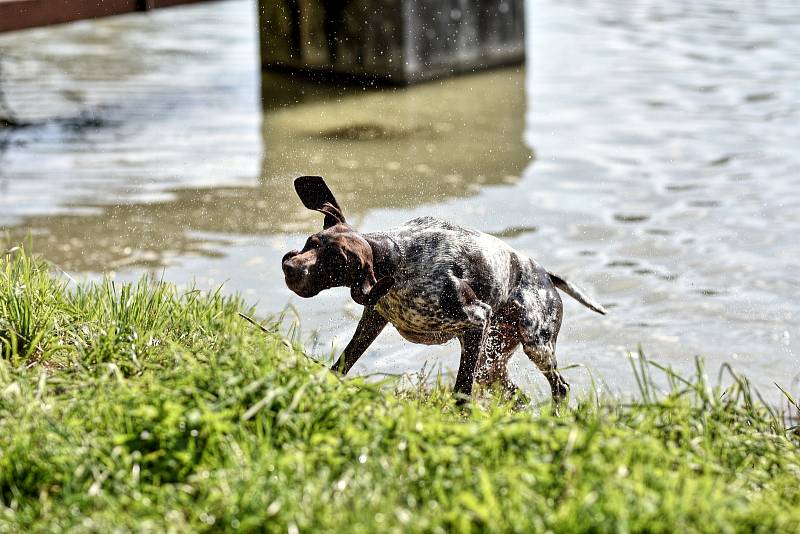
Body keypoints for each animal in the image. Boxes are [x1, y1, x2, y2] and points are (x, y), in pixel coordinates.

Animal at [282, 176, 608, 406]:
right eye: (311, 242)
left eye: (336, 263)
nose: (290, 268)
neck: (398, 259)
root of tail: (547, 276)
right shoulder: (374, 319)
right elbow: (342, 364)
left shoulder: (477, 320)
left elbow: (461, 393)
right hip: (492, 362)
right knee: (518, 395)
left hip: (534, 346)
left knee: (560, 388)